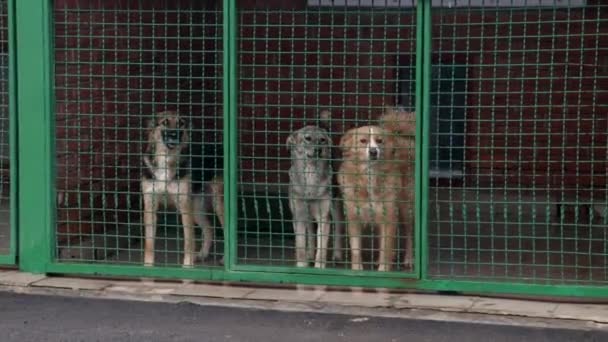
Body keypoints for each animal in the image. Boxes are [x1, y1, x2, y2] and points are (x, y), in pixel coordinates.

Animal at [141, 111, 224, 268]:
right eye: (164, 122)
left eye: (181, 123)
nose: (175, 134)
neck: (166, 160)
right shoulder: (150, 206)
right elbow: (148, 243)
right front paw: (148, 267)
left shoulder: (184, 206)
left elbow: (188, 242)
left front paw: (187, 266)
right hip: (196, 207)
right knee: (209, 229)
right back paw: (202, 254)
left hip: (218, 204)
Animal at [288, 124, 344, 268]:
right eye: (307, 138)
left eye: (322, 140)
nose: (319, 149)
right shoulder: (299, 216)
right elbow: (300, 245)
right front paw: (302, 265)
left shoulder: (323, 217)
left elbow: (322, 248)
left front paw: (319, 267)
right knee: (311, 233)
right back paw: (310, 254)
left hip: (336, 206)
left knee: (338, 228)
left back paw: (337, 255)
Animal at [340, 124, 406, 272]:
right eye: (363, 141)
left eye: (380, 141)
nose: (373, 152)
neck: (370, 175)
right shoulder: (353, 218)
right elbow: (356, 249)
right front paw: (357, 269)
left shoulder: (388, 218)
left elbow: (385, 249)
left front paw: (383, 270)